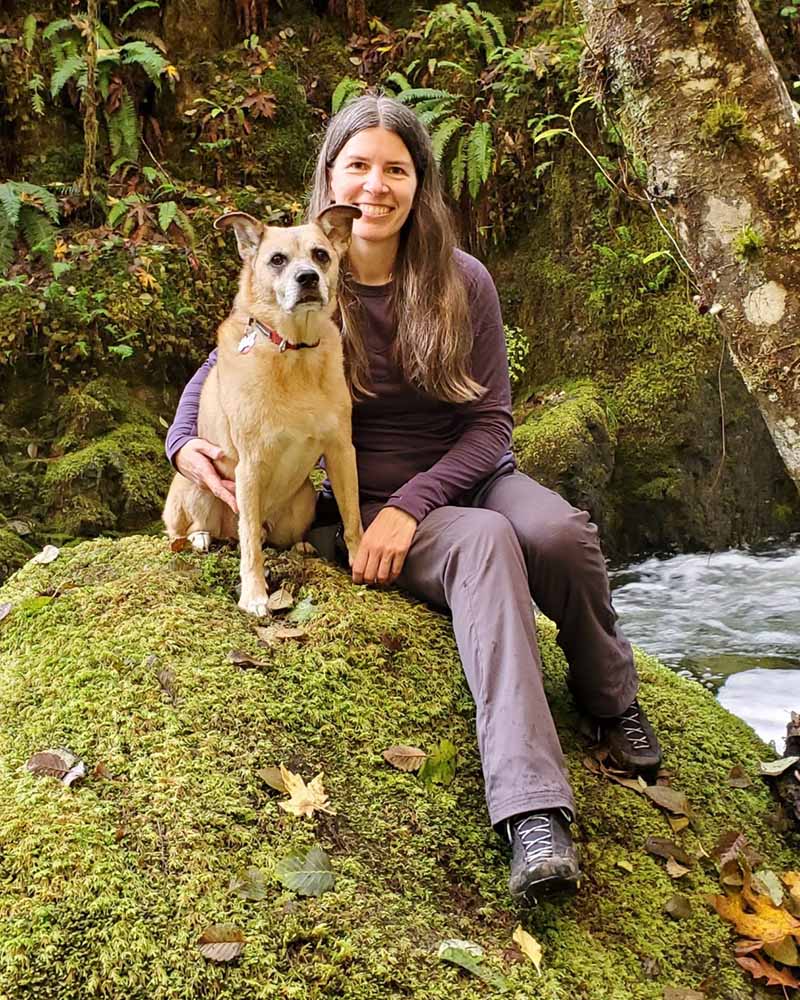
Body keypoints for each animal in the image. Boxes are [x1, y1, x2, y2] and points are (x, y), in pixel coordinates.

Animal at [163, 205, 363, 616]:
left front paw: (360, 564)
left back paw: (300, 545)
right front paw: (254, 596)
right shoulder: (251, 465)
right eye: (277, 260)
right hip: (194, 489)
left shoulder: (341, 451)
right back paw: (200, 537)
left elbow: (353, 517)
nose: (308, 278)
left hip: (302, 500)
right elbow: (251, 545)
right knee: (193, 530)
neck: (294, 351)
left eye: (321, 255)